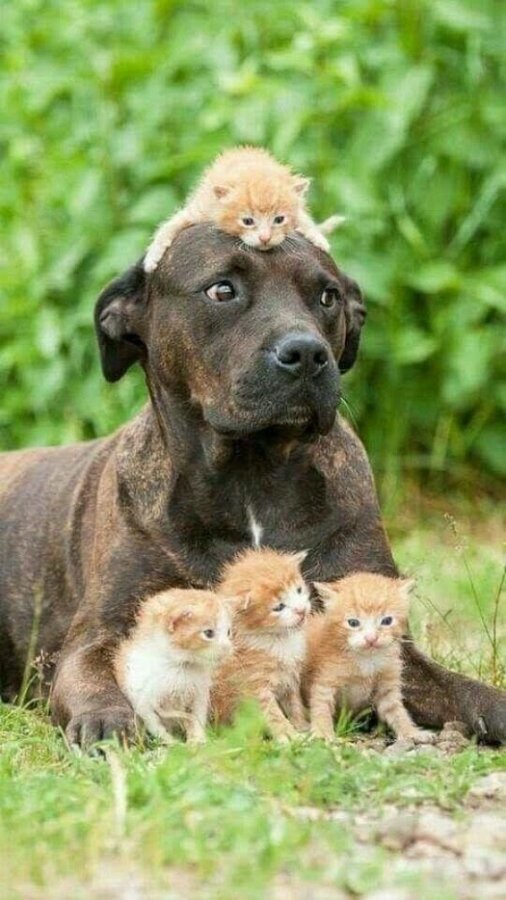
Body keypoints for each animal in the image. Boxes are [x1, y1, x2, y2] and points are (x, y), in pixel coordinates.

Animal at [114, 588, 232, 744]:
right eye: (209, 633)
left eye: (228, 632)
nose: (227, 647)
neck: (180, 667)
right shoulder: (142, 698)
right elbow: (158, 724)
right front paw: (174, 745)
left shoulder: (200, 694)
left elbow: (197, 718)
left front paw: (198, 740)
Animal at [144, 146, 342, 272]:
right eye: (247, 221)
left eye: (279, 220)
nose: (265, 238)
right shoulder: (200, 209)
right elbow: (169, 226)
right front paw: (152, 258)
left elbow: (304, 219)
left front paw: (319, 238)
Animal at [211, 547, 311, 741]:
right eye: (279, 607)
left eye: (299, 590)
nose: (301, 610)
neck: (279, 639)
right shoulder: (255, 687)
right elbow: (273, 714)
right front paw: (287, 735)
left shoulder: (290, 680)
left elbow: (295, 705)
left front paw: (302, 728)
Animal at [303, 573, 435, 744]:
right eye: (353, 622)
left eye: (387, 621)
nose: (371, 638)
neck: (367, 658)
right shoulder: (325, 682)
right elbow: (321, 707)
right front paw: (323, 733)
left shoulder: (387, 685)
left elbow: (397, 711)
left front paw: (411, 732)